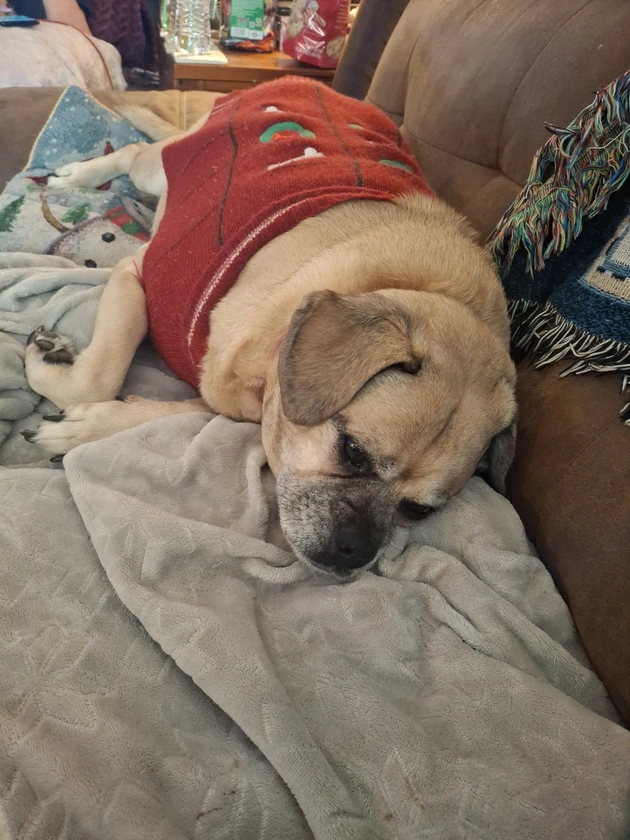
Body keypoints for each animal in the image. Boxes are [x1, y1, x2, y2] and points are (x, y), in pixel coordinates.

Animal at [23, 78, 517, 578]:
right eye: (353, 451)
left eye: (418, 511)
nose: (354, 553)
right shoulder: (138, 273)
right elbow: (98, 376)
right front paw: (49, 370)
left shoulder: (221, 400)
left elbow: (165, 411)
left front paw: (86, 427)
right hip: (157, 171)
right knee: (136, 151)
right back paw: (77, 175)